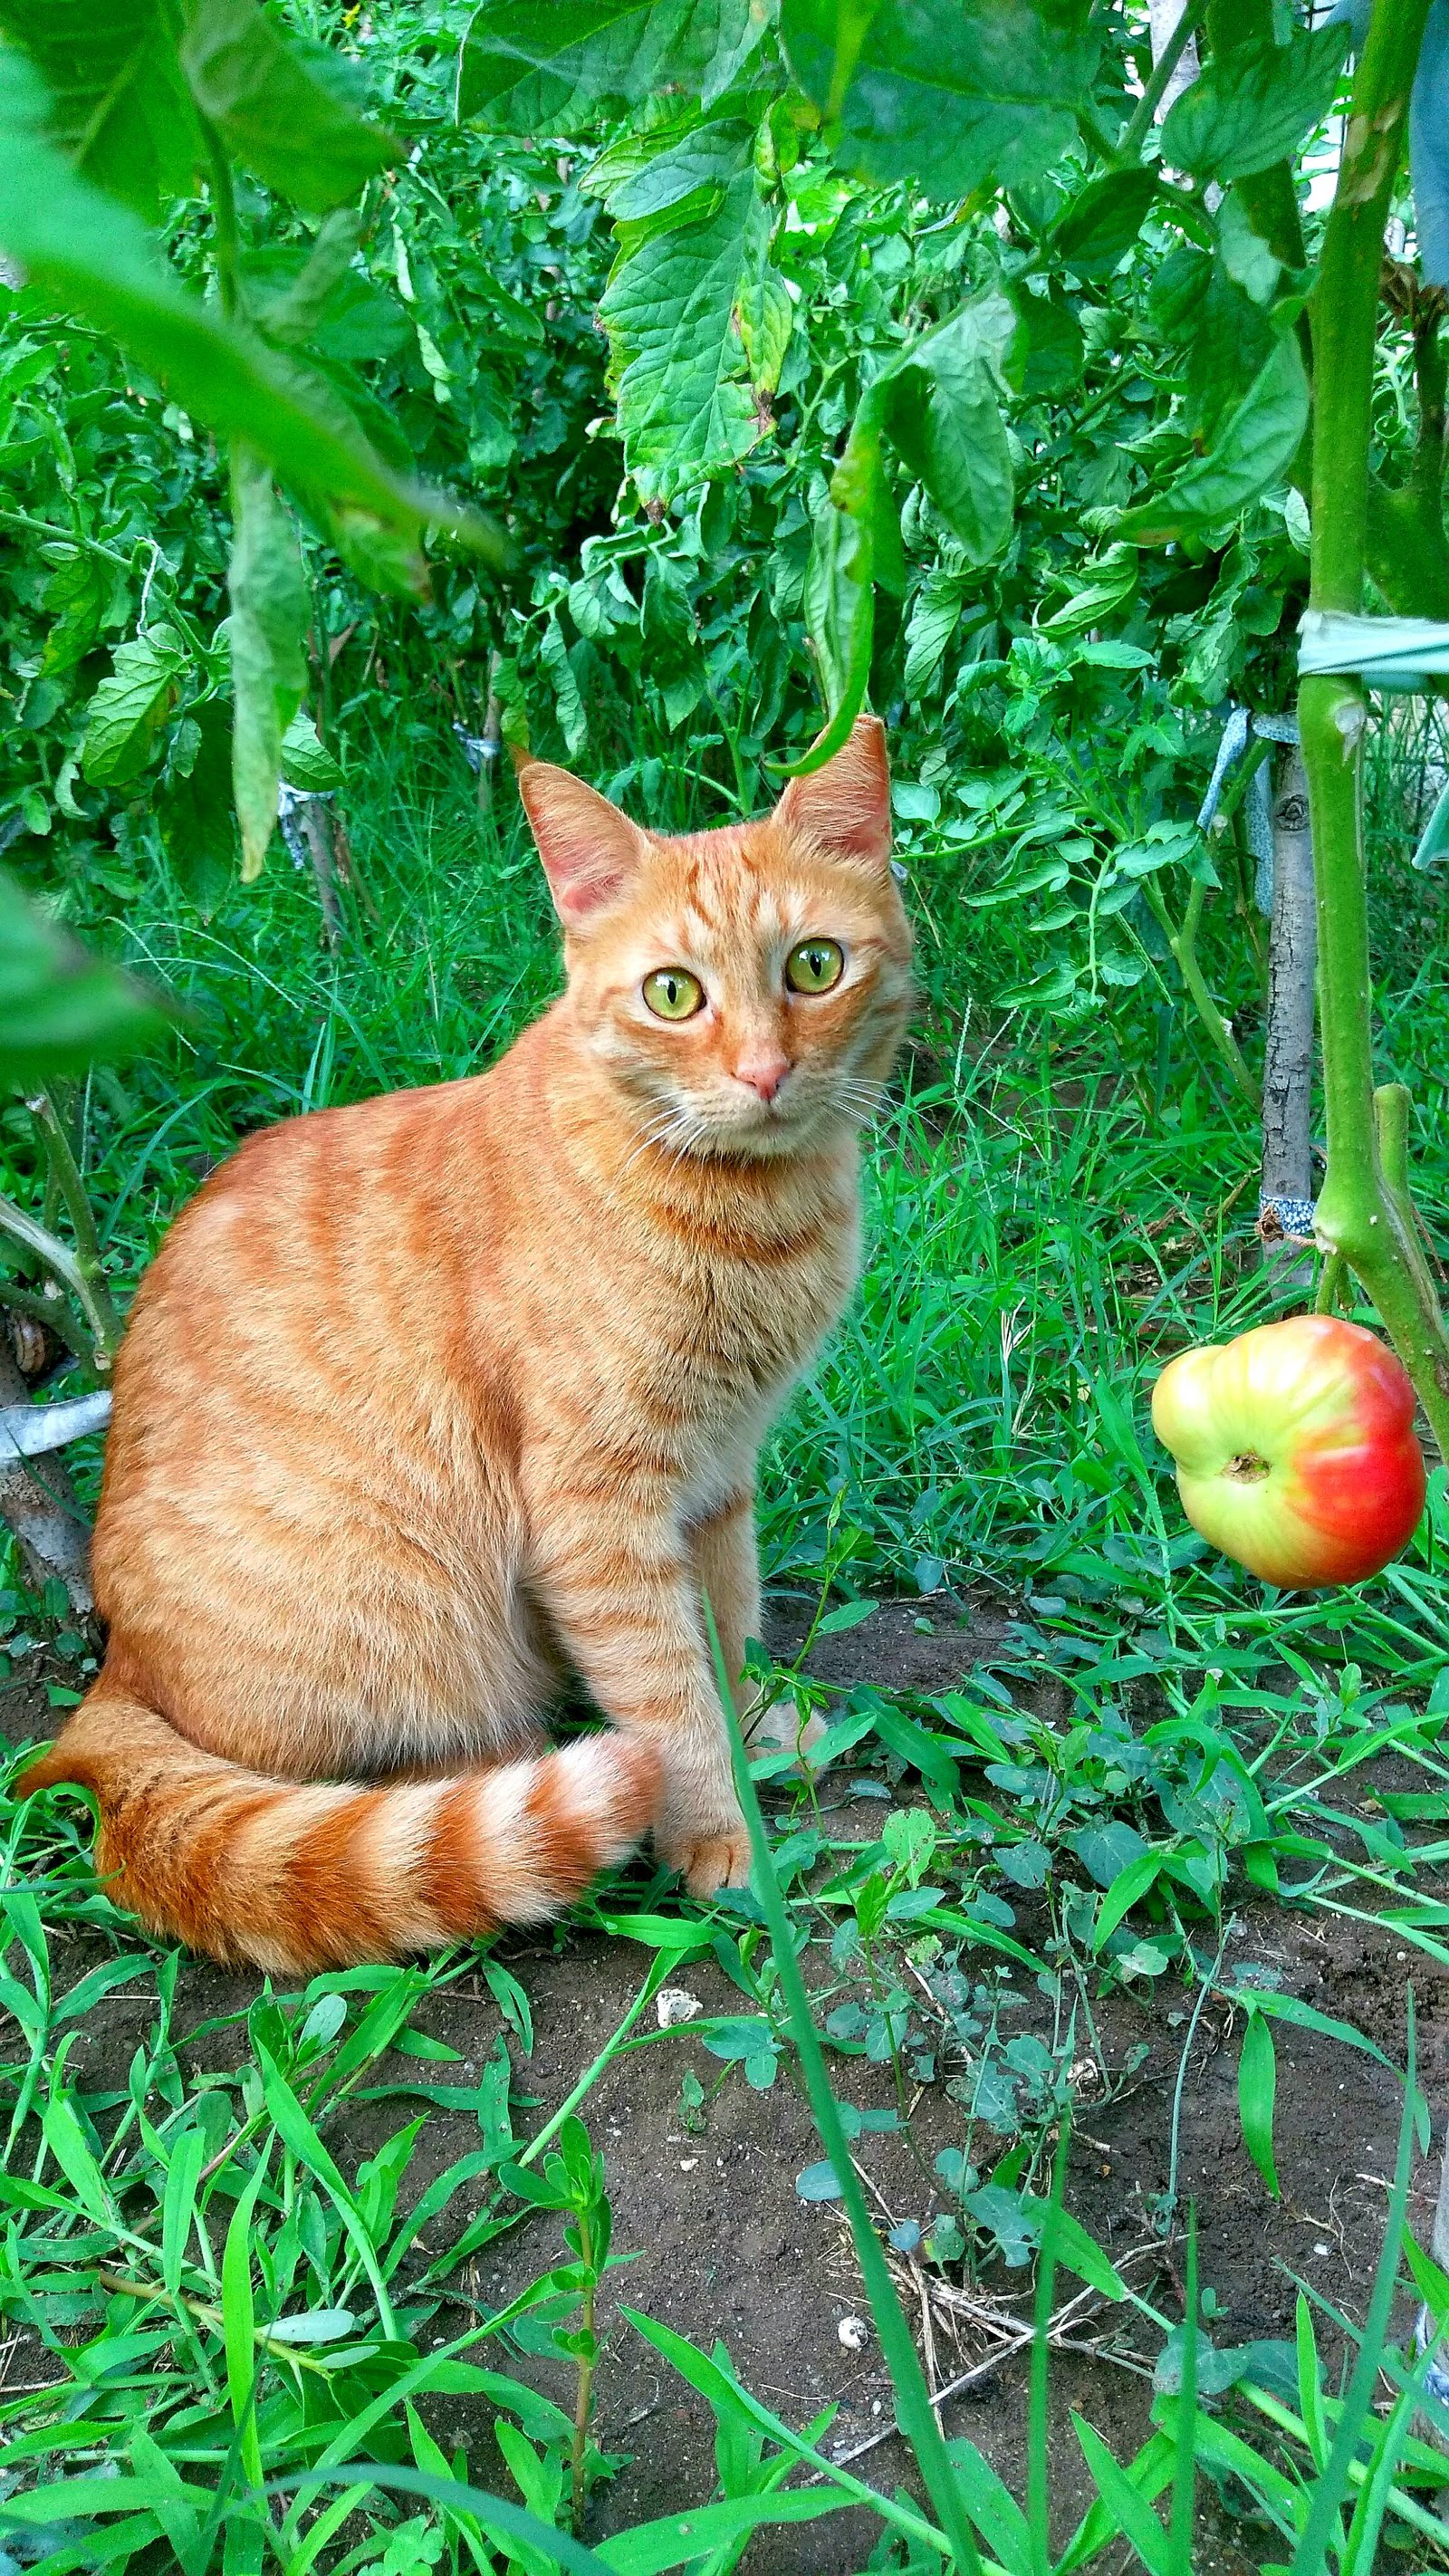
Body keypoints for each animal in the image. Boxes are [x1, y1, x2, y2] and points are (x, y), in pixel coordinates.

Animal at [19, 726, 906, 1967]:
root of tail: (113, 1678)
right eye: (674, 995)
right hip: (414, 1617)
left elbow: (727, 1631)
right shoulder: (598, 1512)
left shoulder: (719, 1477)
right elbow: (666, 1691)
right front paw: (720, 1835)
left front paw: (760, 1728)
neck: (756, 1223)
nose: (764, 1074)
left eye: (814, 968)